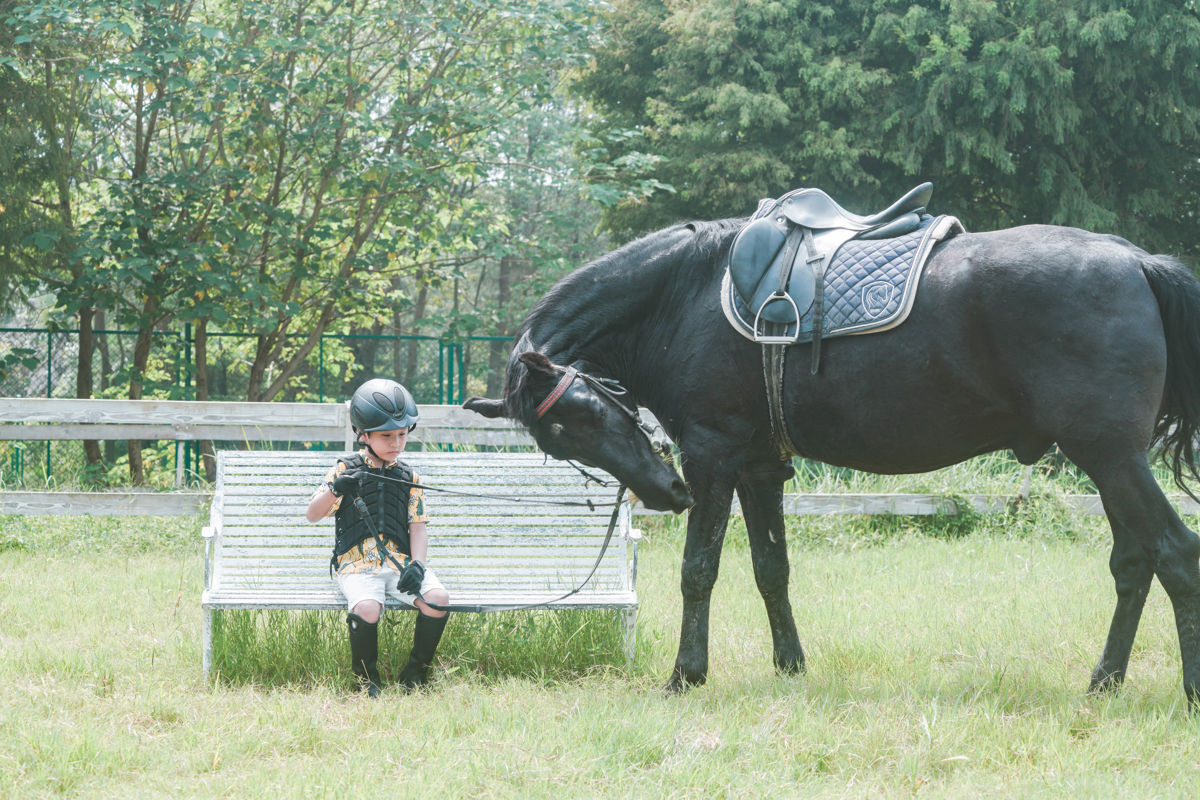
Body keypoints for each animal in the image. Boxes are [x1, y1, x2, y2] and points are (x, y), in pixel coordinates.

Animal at [463, 218, 1200, 706]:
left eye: (585, 413)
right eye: (565, 444)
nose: (665, 492)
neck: (684, 295)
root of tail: (1137, 260)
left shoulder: (714, 455)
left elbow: (699, 570)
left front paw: (685, 674)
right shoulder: (760, 466)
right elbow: (772, 569)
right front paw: (790, 665)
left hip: (1110, 458)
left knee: (1175, 554)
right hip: (1106, 462)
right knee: (1133, 565)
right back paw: (1104, 682)